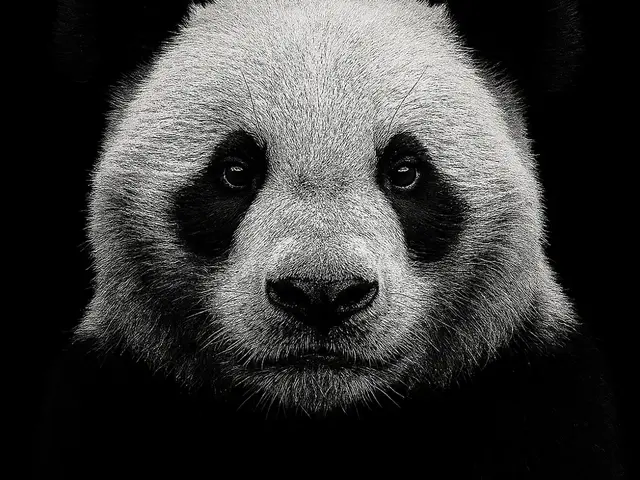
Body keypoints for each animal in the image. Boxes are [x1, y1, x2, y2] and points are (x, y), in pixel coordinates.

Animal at [36, 0, 623, 478]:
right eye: (234, 172)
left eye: (405, 171)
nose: (322, 293)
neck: (324, 417)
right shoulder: (114, 394)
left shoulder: (539, 395)